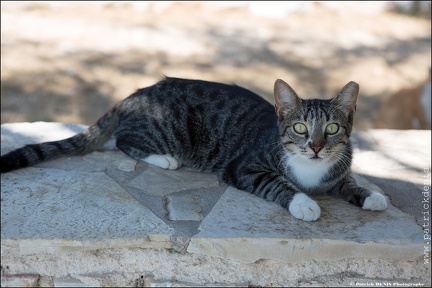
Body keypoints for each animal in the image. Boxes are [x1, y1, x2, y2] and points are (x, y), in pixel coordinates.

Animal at [0, 76, 388, 220]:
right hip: (169, 128)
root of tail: (134, 94)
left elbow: (347, 181)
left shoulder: (338, 168)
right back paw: (164, 159)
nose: (317, 147)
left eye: (333, 129)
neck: (311, 170)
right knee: (124, 140)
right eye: (300, 128)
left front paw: (370, 195)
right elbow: (276, 183)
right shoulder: (244, 167)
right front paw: (304, 203)